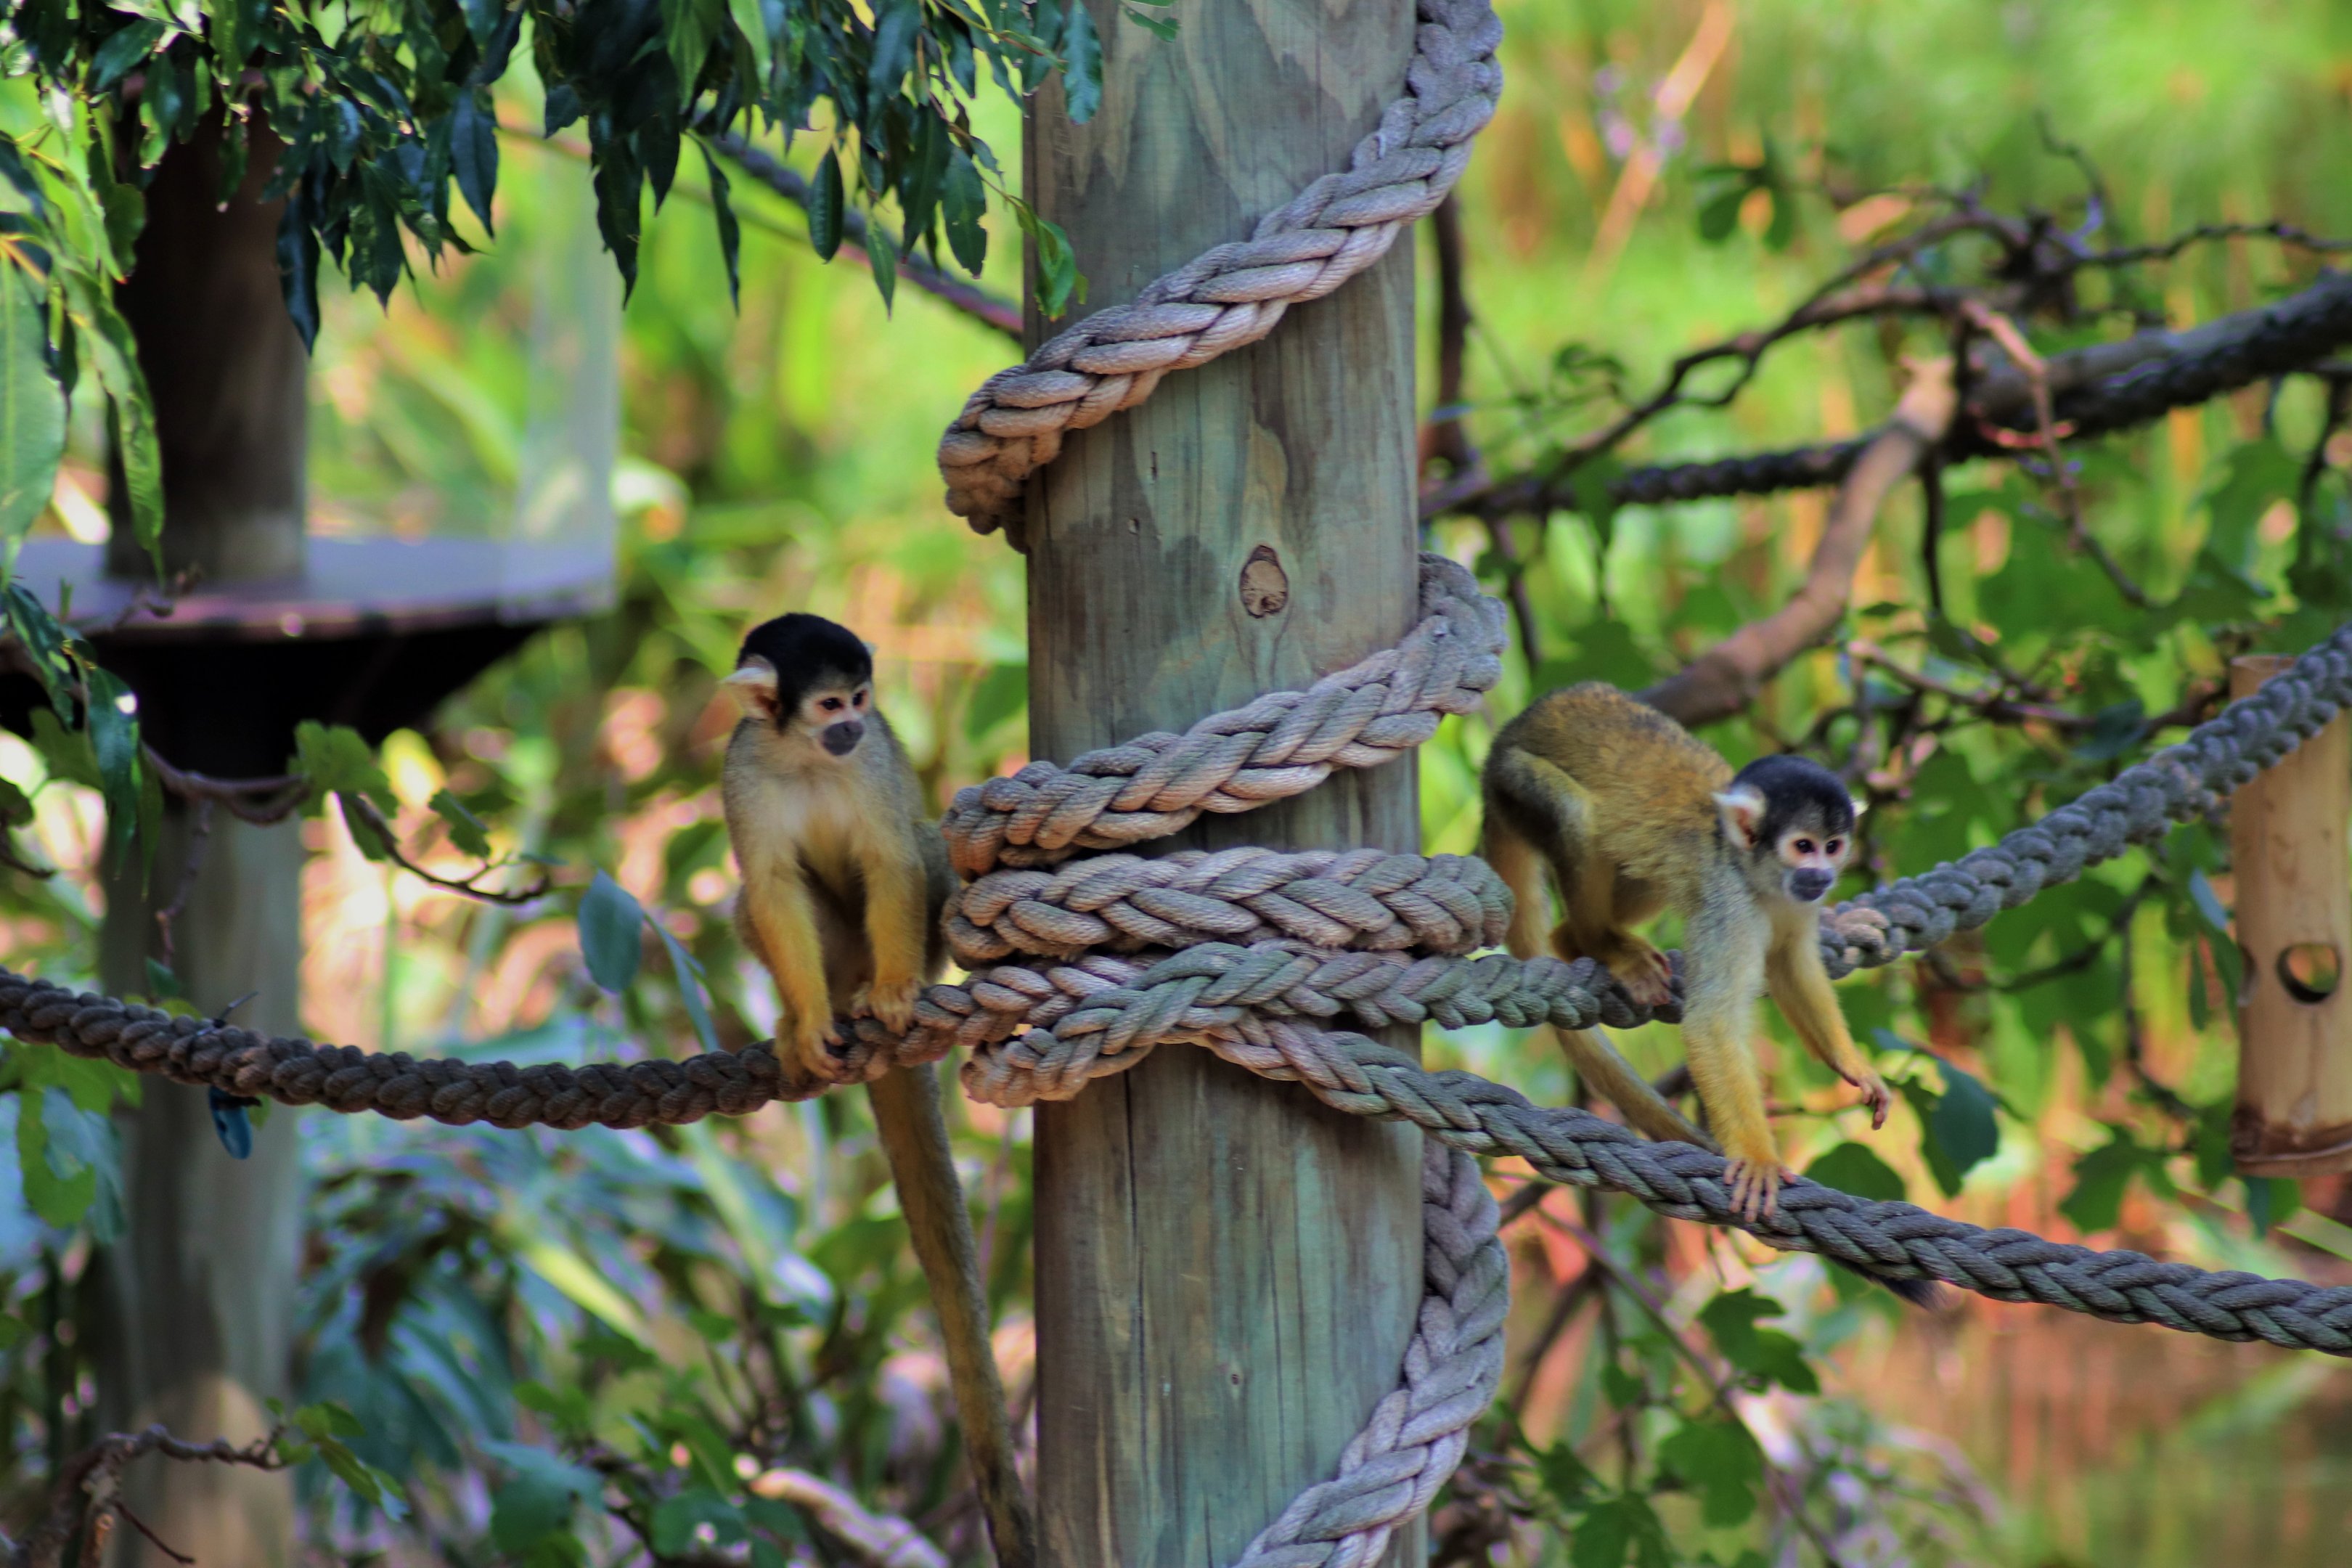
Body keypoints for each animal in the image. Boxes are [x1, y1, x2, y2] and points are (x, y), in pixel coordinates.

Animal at [718, 614, 1037, 1568]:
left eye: (864, 700)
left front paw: (895, 995)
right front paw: (809, 1023)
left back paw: (879, 993)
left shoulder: (878, 763)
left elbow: (894, 857)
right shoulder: (742, 771)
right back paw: (810, 1014)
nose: (857, 724)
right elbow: (772, 885)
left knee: (925, 853)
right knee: (753, 900)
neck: (806, 759)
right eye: (830, 705)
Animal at [1481, 683, 1891, 1223]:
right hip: (1516, 782)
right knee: (1575, 813)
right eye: (1803, 846)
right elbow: (1712, 1022)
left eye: (1833, 846)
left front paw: (1852, 1065)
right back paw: (1599, 944)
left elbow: (1791, 965)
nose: (1822, 875)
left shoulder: (1794, 901)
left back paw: (1572, 939)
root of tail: (1500, 744)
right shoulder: (1729, 903)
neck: (1751, 870)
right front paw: (1758, 1158)